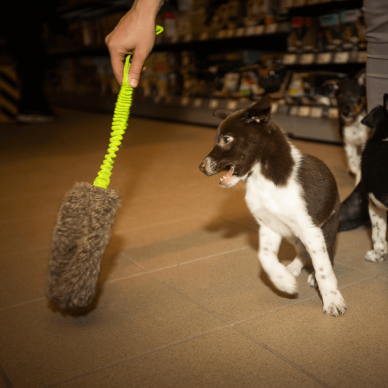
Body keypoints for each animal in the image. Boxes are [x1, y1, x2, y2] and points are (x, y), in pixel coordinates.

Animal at [200, 95, 346, 316]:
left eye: (226, 139)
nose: (201, 167)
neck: (264, 178)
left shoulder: (311, 229)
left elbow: (323, 269)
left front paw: (332, 300)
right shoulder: (270, 225)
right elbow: (265, 256)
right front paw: (282, 281)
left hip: (327, 226)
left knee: (326, 255)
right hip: (292, 233)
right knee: (302, 251)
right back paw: (292, 268)